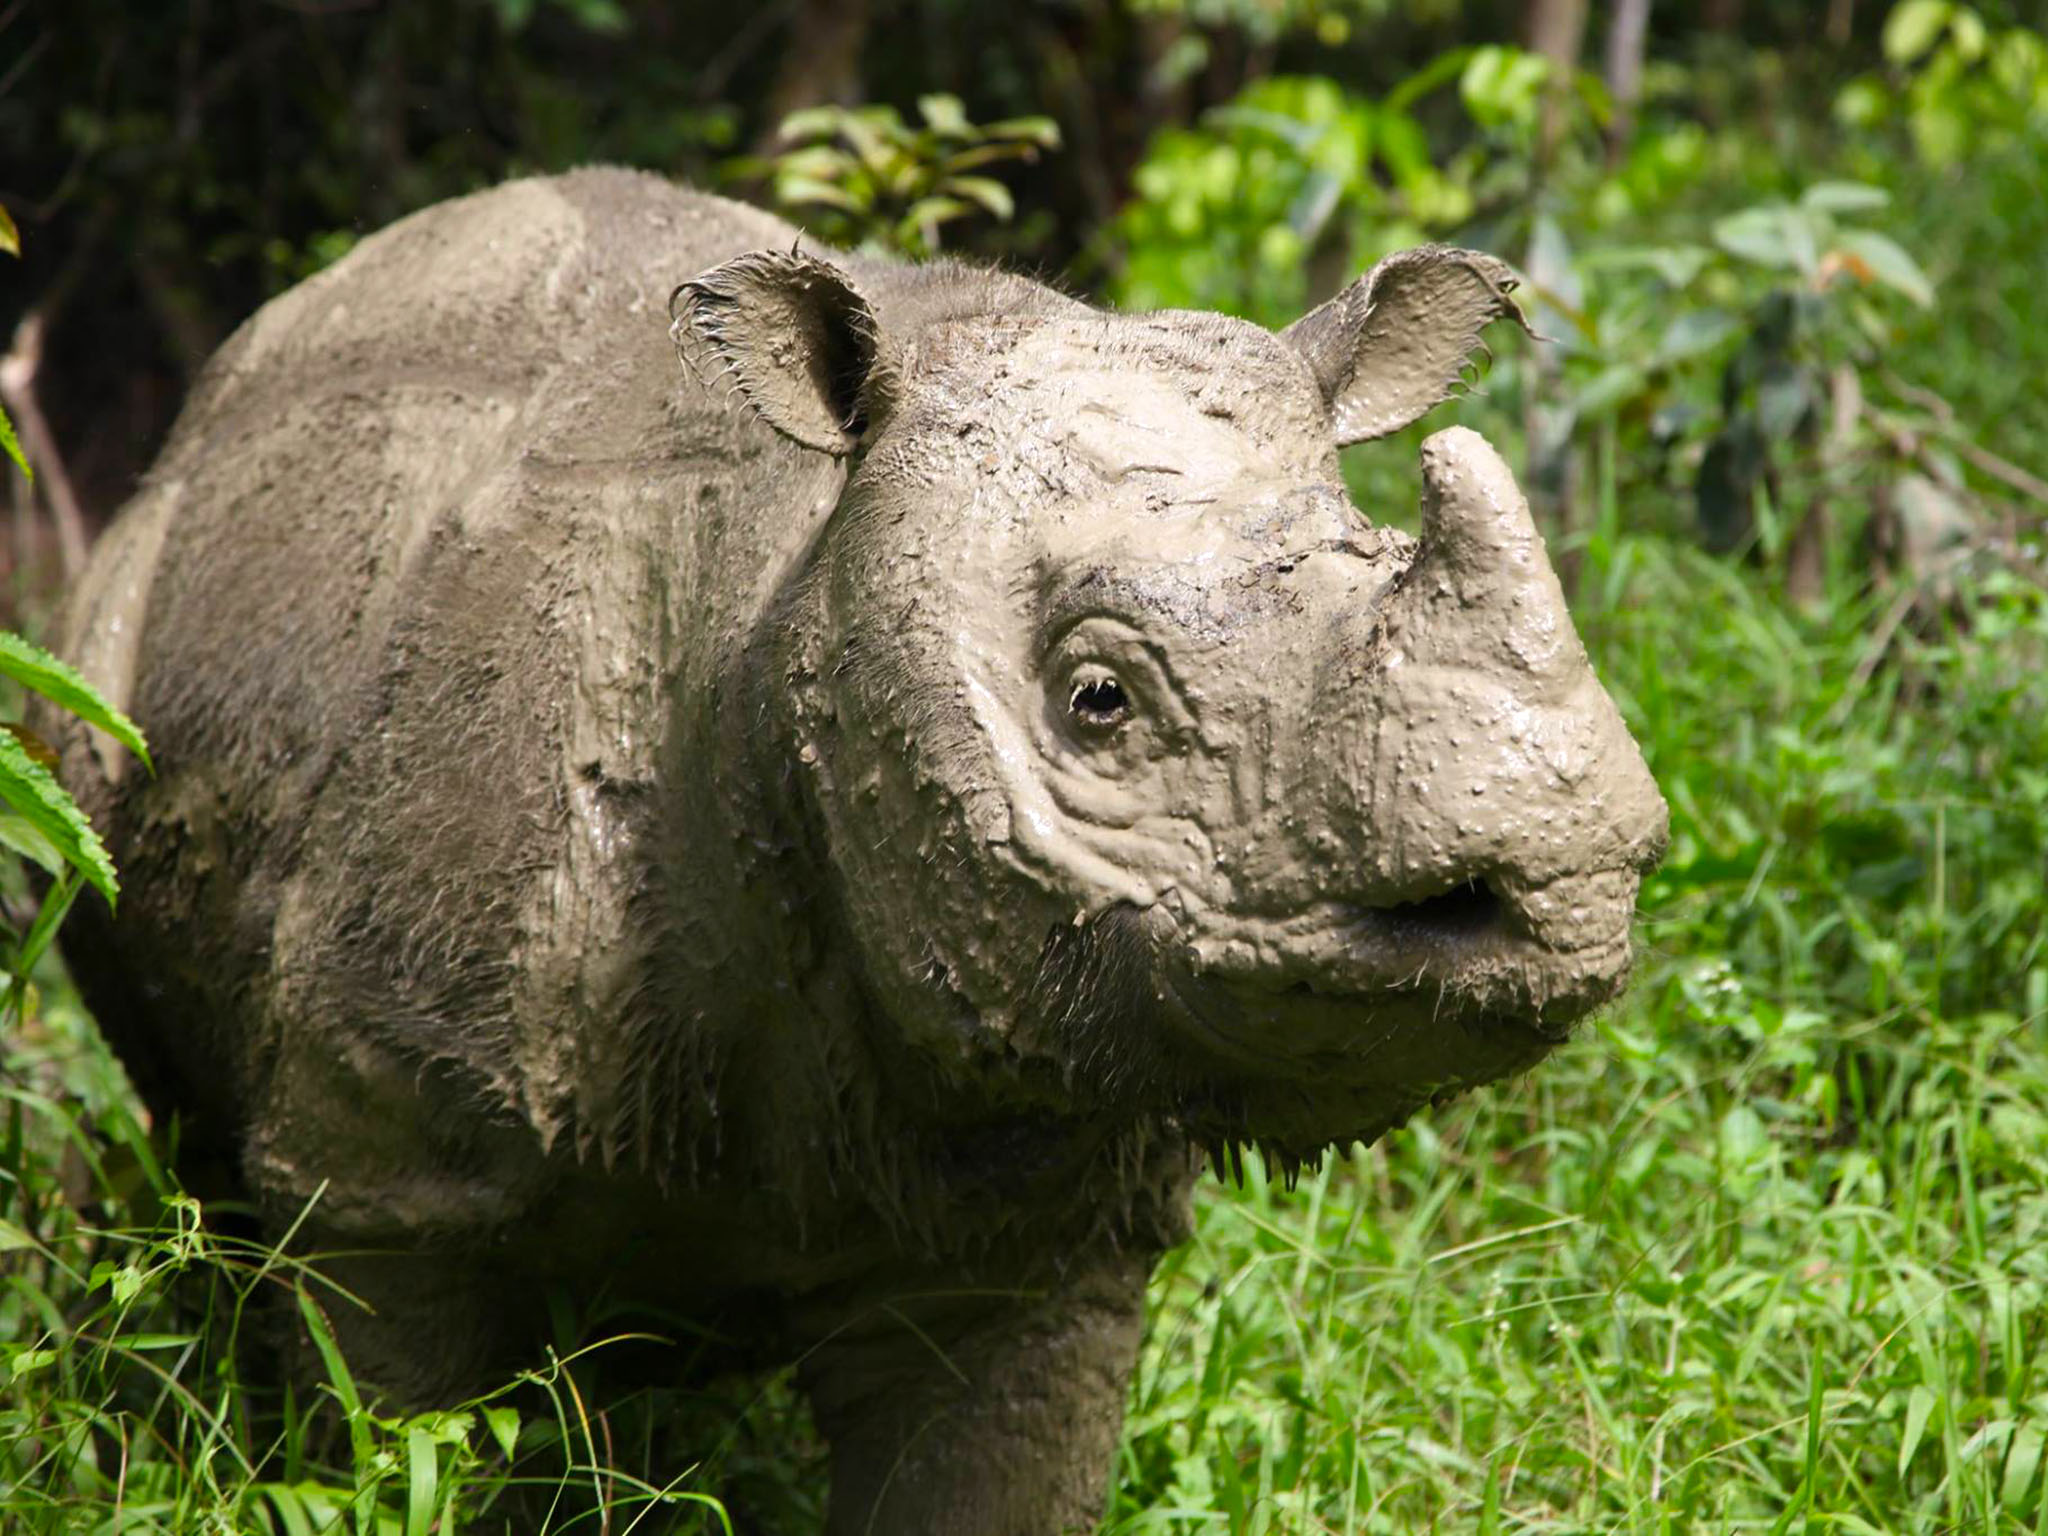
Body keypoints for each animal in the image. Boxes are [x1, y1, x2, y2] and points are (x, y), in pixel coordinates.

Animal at [51, 168, 1667, 1534]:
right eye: (1097, 699)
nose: (1547, 888)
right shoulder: (385, 1168)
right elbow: (395, 1439)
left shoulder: (1037, 1227)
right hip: (113, 627)